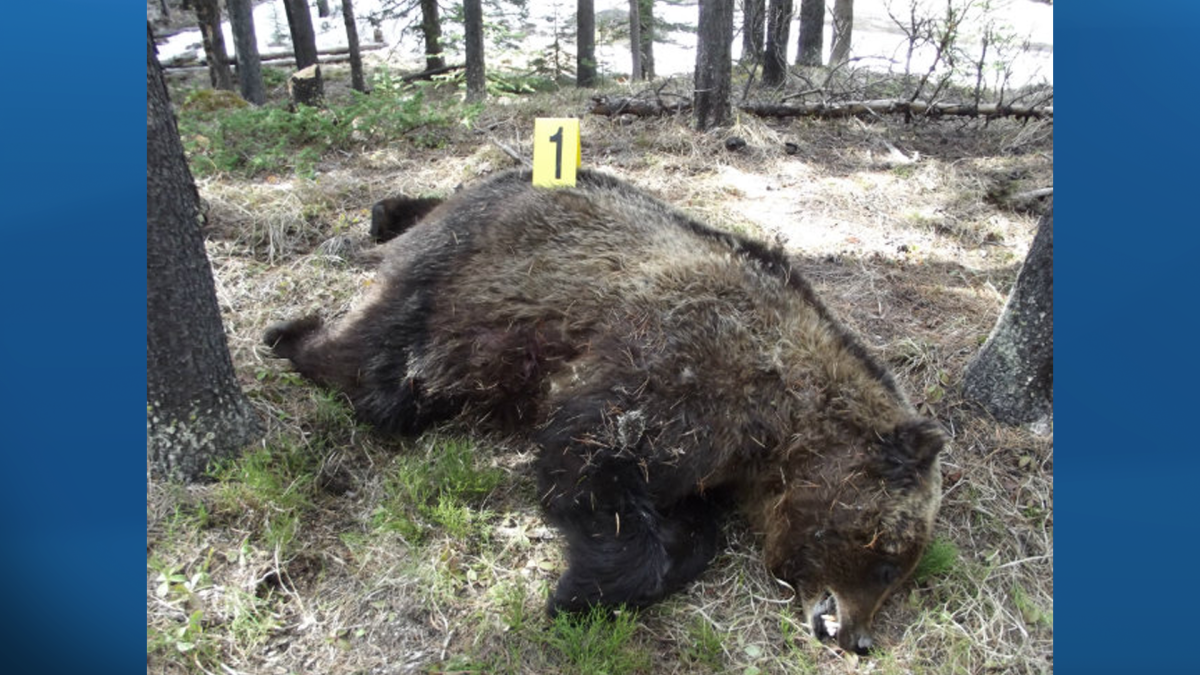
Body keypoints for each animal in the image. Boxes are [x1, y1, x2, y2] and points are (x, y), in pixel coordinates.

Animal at [265, 169, 944, 655]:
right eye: (889, 563)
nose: (859, 638)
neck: (783, 424)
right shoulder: (680, 368)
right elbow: (590, 460)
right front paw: (578, 592)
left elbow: (688, 516)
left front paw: (671, 543)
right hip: (461, 289)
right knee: (383, 371)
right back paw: (293, 333)